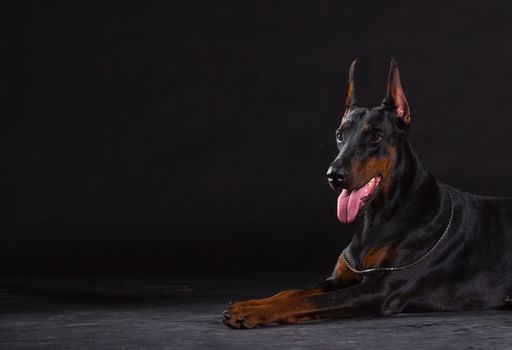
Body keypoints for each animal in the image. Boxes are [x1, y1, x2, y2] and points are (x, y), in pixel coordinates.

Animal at [221, 58, 512, 330]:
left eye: (375, 137)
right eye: (340, 135)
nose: (334, 175)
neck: (381, 214)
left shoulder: (380, 289)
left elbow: (310, 300)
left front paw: (252, 312)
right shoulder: (339, 279)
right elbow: (291, 292)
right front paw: (252, 303)